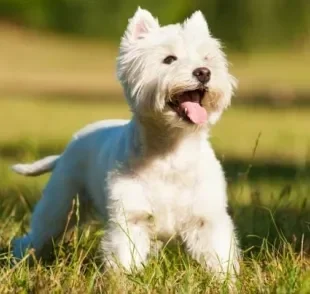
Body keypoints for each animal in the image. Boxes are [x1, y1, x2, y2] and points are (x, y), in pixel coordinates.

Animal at [12, 8, 240, 280]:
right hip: (60, 205)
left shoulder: (206, 219)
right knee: (35, 237)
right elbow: (125, 260)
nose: (204, 72)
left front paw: (225, 283)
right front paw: (124, 282)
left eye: (207, 57)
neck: (171, 152)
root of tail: (67, 149)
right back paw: (19, 262)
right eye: (169, 59)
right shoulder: (130, 219)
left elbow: (219, 259)